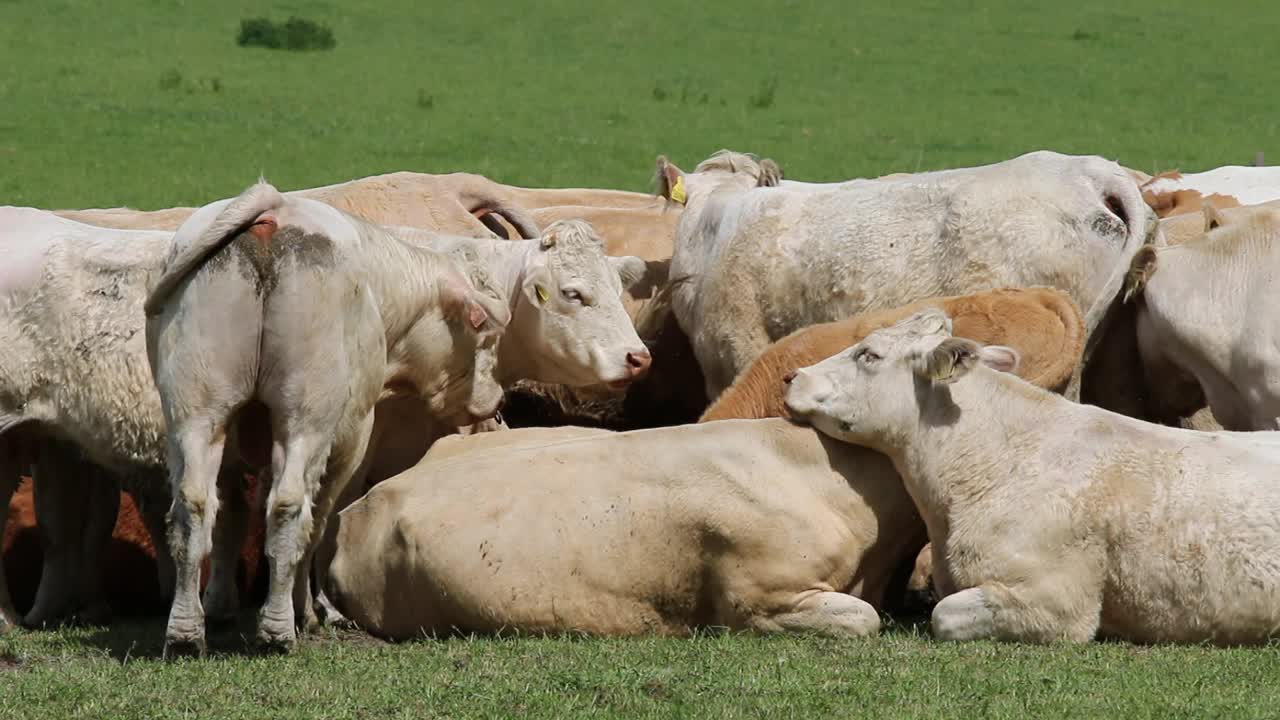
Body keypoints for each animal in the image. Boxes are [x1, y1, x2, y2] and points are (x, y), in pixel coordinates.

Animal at [141, 181, 514, 653]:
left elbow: (233, 519)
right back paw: (279, 629)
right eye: (487, 338)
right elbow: (319, 521)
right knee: (289, 506)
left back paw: (186, 632)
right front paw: (312, 611)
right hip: (307, 415)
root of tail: (274, 209)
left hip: (195, 410)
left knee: (193, 507)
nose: (497, 402)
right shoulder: (354, 434)